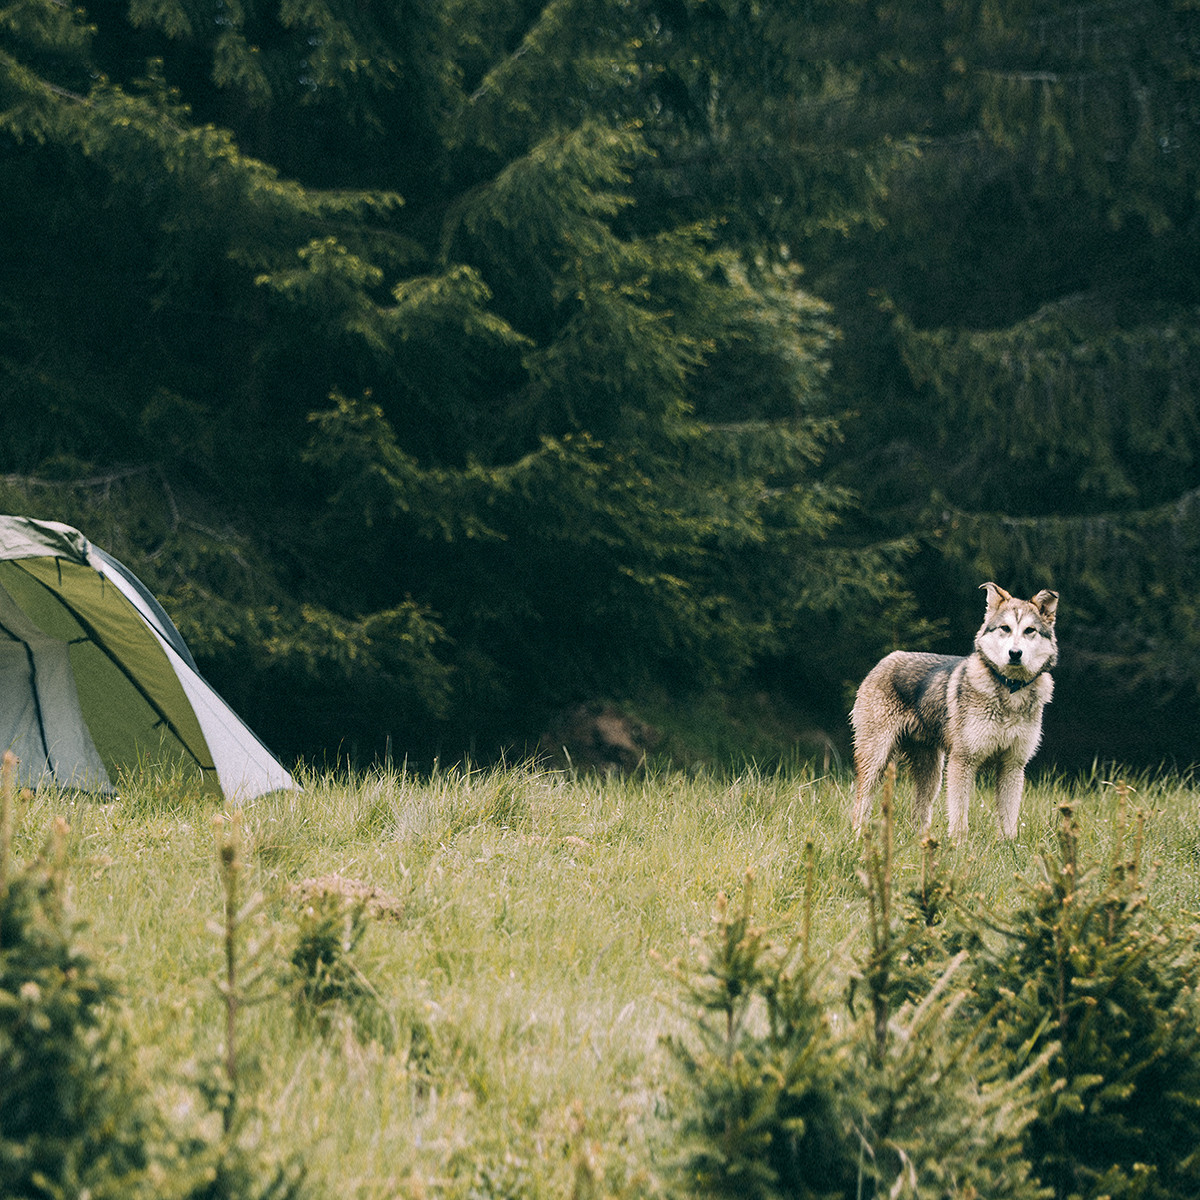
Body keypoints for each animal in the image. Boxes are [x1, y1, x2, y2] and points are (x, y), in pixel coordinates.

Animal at [854, 585, 1060, 840]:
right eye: (1005, 628)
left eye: (1029, 631)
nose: (1015, 653)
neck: (1010, 691)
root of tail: (886, 659)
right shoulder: (963, 762)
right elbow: (960, 816)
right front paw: (958, 845)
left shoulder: (1012, 765)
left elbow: (1009, 819)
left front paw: (1009, 844)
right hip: (877, 760)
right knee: (861, 802)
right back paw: (858, 836)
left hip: (931, 773)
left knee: (919, 811)